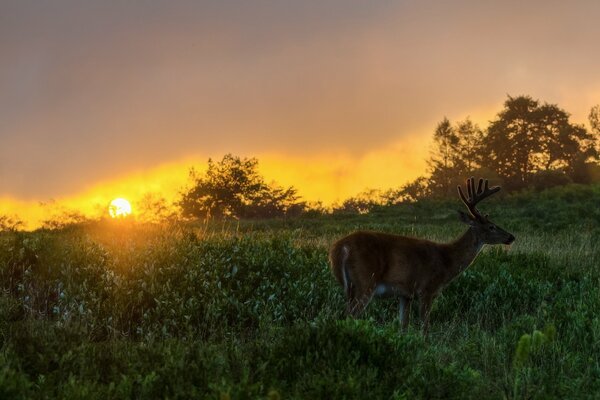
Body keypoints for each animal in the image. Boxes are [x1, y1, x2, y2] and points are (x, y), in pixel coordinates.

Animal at [328, 177, 516, 334]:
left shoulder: (405, 293)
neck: (447, 261)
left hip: (350, 286)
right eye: (491, 226)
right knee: (350, 315)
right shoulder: (426, 288)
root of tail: (340, 247)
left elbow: (403, 325)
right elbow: (425, 327)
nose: (511, 237)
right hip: (365, 281)